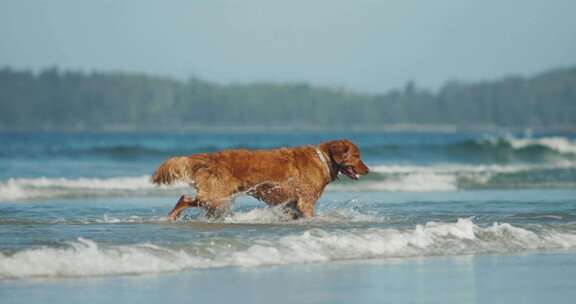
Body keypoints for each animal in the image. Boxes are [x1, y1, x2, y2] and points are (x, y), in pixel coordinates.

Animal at [151, 139, 368, 220]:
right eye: (357, 156)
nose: (367, 170)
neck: (324, 159)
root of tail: (208, 157)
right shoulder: (306, 201)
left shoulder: (292, 204)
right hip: (215, 196)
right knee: (184, 198)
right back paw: (172, 216)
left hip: (218, 200)